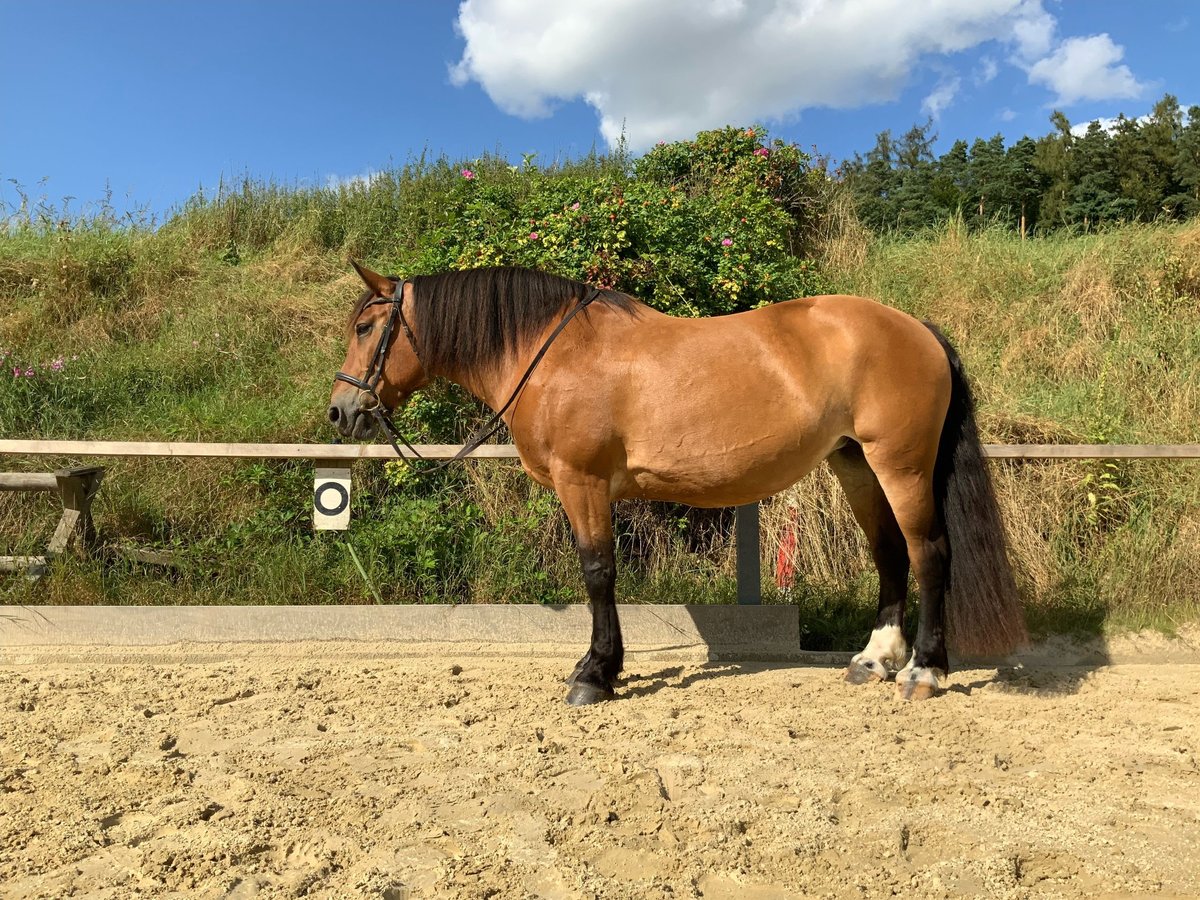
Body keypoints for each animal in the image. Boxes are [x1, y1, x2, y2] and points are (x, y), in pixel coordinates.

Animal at [331, 264, 1032, 710]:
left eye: (365, 329)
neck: (553, 354)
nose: (341, 410)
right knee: (889, 553)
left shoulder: (582, 483)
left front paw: (596, 673)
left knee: (929, 553)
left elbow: (598, 573)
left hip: (901, 465)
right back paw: (875, 658)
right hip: (855, 464)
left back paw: (924, 671)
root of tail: (918, 330)